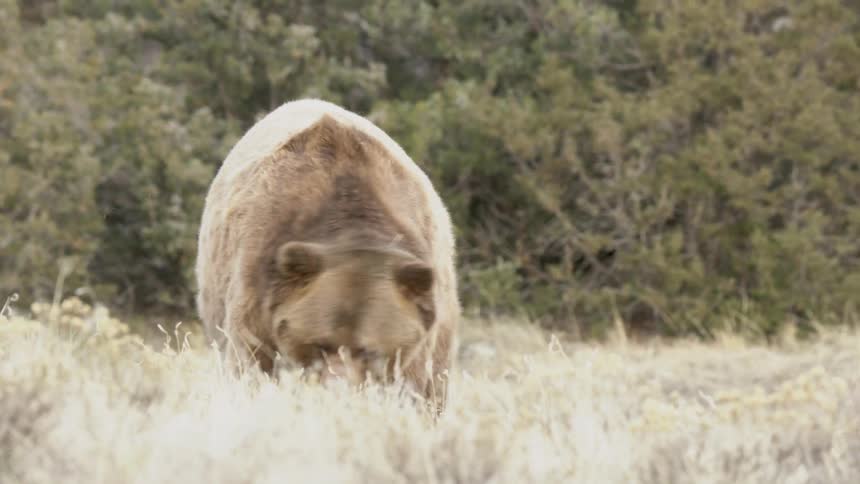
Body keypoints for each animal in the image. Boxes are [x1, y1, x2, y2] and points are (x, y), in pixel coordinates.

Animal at [194, 99, 460, 412]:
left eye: (369, 350)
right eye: (320, 344)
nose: (338, 391)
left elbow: (414, 386)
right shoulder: (259, 271)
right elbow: (252, 359)